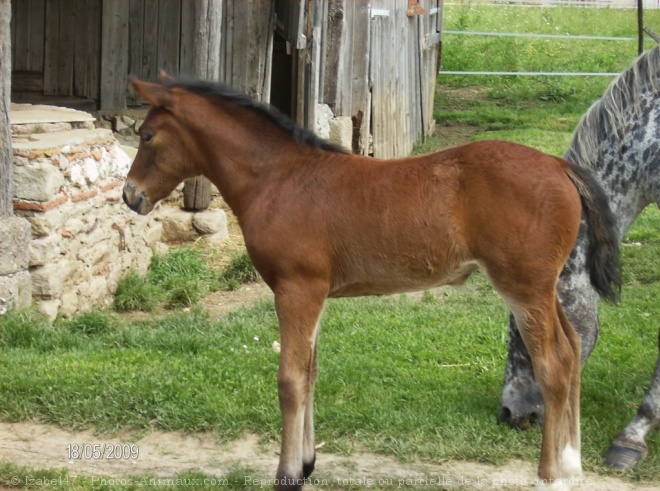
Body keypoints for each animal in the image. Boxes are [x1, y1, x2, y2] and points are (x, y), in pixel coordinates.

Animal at [122, 75, 620, 490]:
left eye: (146, 136)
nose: (130, 196)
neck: (279, 178)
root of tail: (557, 165)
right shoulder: (315, 293)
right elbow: (310, 372)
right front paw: (307, 464)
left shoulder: (296, 288)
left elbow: (290, 380)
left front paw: (287, 474)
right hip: (542, 288)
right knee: (574, 348)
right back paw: (573, 464)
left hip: (523, 288)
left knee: (553, 365)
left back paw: (550, 476)